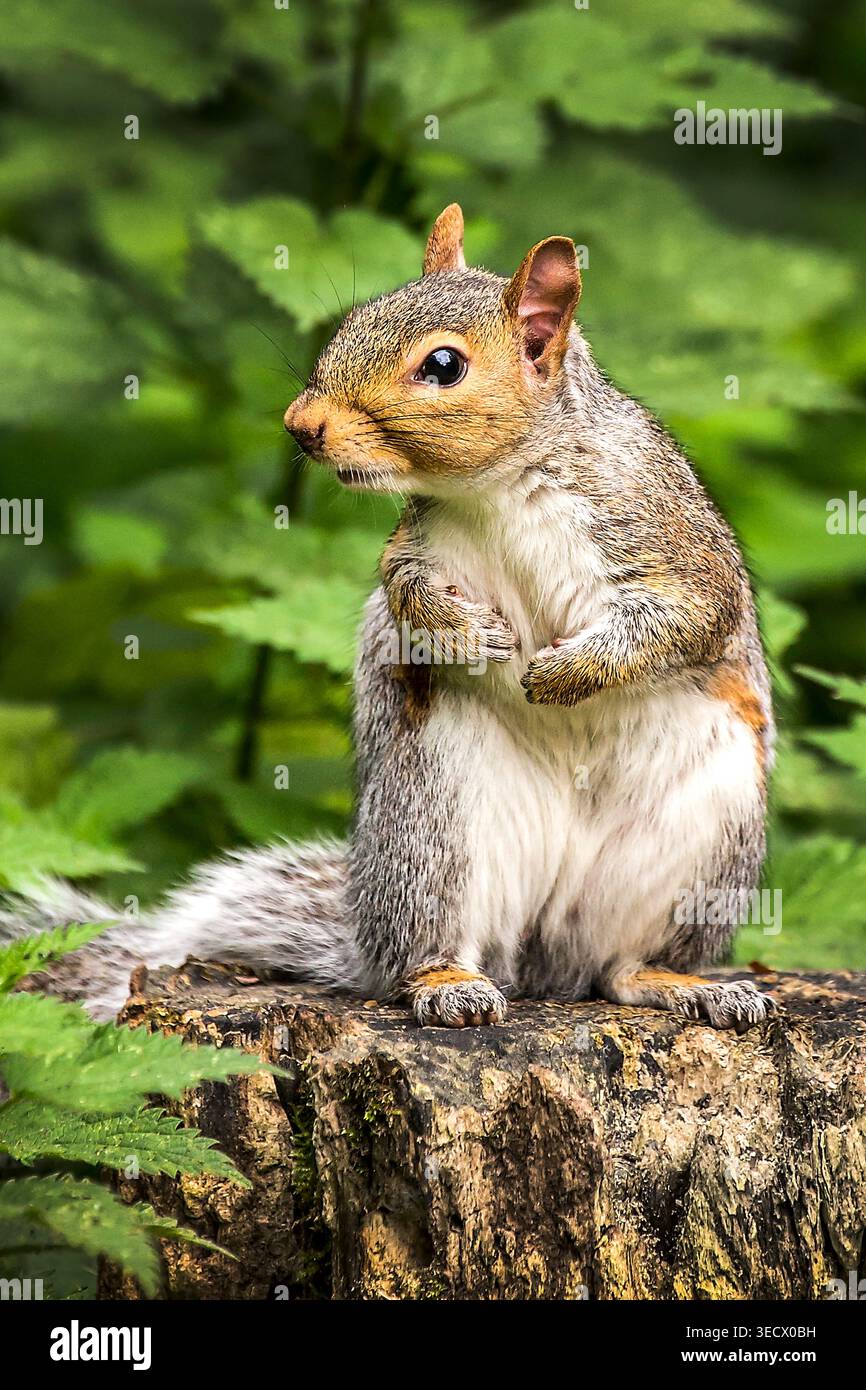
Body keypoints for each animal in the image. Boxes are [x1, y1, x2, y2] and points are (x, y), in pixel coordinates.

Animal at [2, 204, 777, 1032]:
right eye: (352, 320)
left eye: (443, 366)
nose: (300, 424)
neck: (498, 487)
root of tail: (541, 960)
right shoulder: (415, 546)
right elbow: (403, 595)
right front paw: (467, 634)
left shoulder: (665, 537)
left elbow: (687, 617)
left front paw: (568, 672)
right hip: (434, 822)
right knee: (433, 946)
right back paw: (448, 982)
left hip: (699, 842)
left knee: (618, 967)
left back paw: (687, 984)